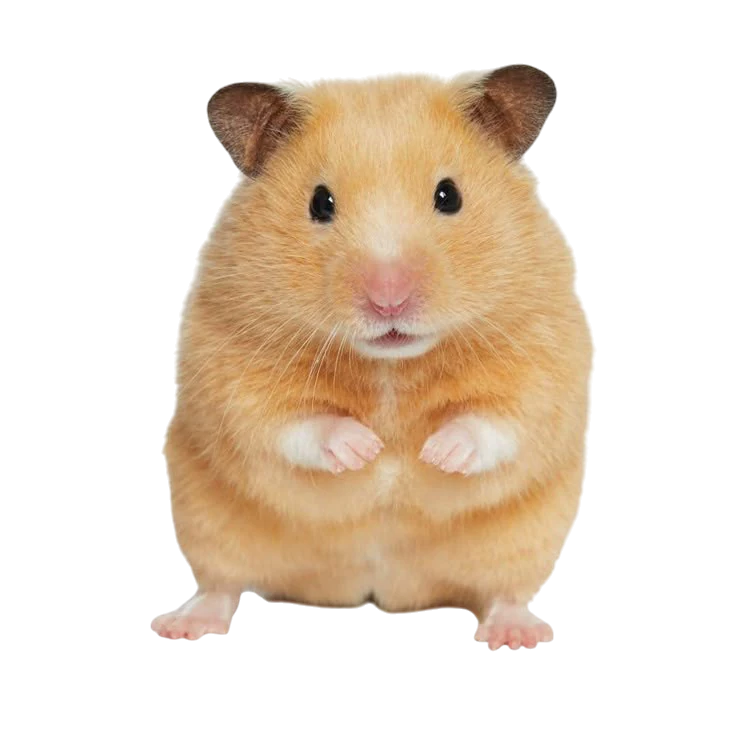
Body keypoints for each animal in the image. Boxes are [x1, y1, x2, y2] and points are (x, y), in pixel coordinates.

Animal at [153, 67, 594, 650]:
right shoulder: (230, 369)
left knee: (506, 591)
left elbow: (498, 419)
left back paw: (516, 632)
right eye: (320, 203)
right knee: (220, 584)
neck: (392, 365)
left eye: (449, 195)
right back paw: (183, 623)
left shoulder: (542, 357)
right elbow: (288, 422)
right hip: (206, 520)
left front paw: (434, 453)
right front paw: (367, 450)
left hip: (527, 540)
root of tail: (374, 593)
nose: (389, 300)